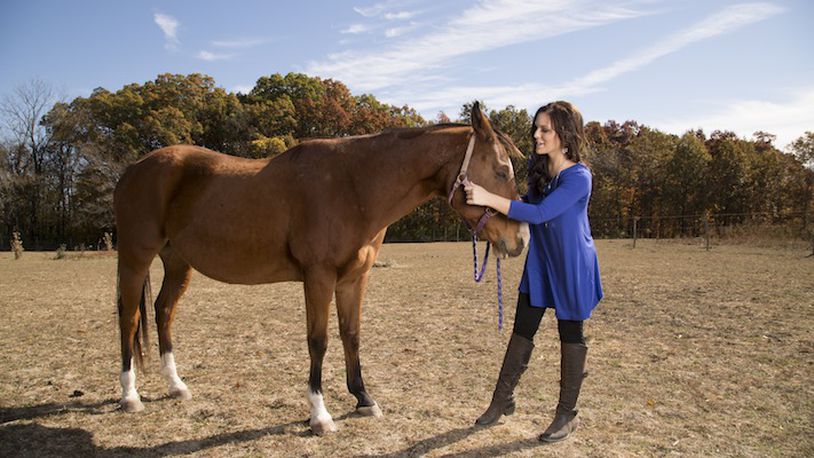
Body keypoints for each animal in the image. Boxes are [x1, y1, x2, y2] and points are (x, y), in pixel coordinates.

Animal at [115, 102, 532, 434]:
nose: (521, 239)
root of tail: (133, 169)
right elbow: (319, 340)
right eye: (501, 171)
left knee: (163, 311)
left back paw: (176, 386)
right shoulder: (318, 277)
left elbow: (352, 334)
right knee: (130, 317)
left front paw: (363, 398)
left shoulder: (353, 279)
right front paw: (320, 414)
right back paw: (130, 395)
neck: (353, 187)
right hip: (135, 258)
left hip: (178, 262)